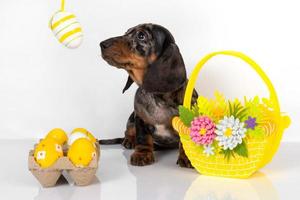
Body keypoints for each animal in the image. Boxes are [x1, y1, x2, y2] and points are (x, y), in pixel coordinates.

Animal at [99, 23, 197, 167]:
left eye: (141, 35)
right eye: (126, 32)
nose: (102, 44)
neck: (156, 94)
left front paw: (189, 157)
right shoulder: (140, 119)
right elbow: (143, 138)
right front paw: (142, 154)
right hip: (131, 118)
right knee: (128, 131)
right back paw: (129, 140)